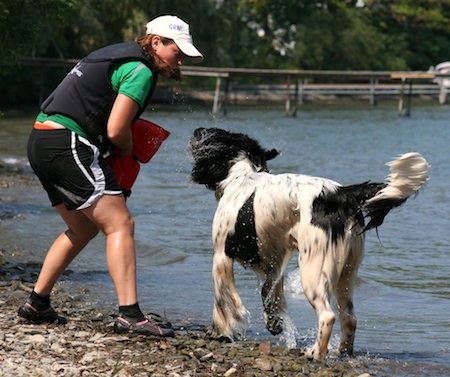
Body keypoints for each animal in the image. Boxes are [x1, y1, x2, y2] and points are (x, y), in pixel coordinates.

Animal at [188, 128, 430, 360]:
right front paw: (274, 325)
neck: (241, 176)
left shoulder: (221, 255)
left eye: (207, 133)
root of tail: (340, 194)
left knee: (328, 316)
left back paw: (315, 353)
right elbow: (270, 294)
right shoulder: (274, 264)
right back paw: (341, 352)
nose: (196, 129)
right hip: (347, 273)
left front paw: (220, 332)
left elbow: (222, 301)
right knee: (349, 318)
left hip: (313, 270)